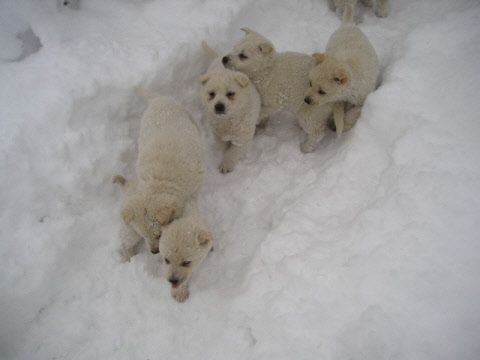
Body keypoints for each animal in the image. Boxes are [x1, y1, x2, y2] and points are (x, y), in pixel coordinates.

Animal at [115, 89, 207, 260]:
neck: (159, 182)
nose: (154, 252)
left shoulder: (197, 180)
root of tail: (156, 99)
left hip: (189, 118)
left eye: (159, 235)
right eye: (143, 236)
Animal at [200, 41, 260, 174]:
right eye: (212, 94)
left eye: (230, 94)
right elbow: (223, 146)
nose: (219, 106)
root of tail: (218, 57)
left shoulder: (242, 137)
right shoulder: (217, 133)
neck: (228, 121)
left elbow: (233, 152)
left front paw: (226, 165)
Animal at [304, 0, 378, 151]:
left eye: (322, 92)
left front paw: (341, 127)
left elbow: (351, 115)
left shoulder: (361, 101)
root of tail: (348, 23)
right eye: (310, 83)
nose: (306, 100)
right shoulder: (340, 100)